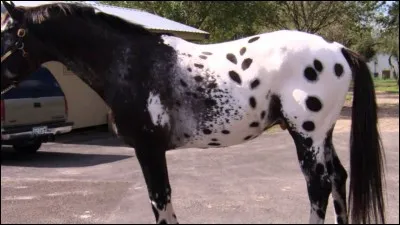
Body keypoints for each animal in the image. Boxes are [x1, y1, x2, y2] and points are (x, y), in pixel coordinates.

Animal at [0, 1, 388, 223]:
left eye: (11, 33)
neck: (130, 62)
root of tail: (337, 49)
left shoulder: (149, 149)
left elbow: (160, 201)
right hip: (322, 135)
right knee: (337, 178)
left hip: (307, 134)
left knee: (318, 185)